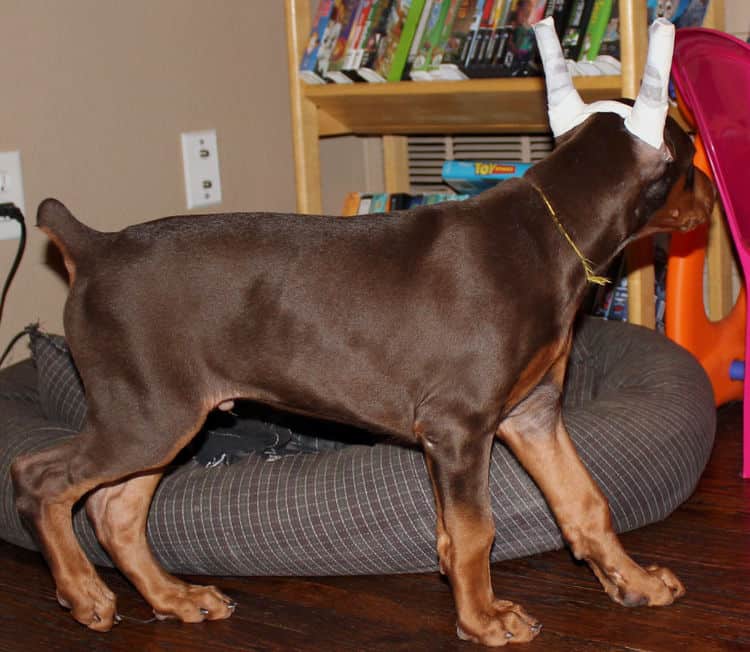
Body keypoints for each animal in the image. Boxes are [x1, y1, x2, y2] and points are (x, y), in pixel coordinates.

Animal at [11, 16, 712, 648]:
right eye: (688, 160)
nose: (708, 193)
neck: (553, 228)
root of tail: (94, 247)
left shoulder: (533, 413)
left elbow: (587, 502)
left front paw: (636, 584)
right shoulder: (459, 425)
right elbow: (475, 532)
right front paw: (485, 620)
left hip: (166, 419)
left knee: (114, 511)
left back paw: (175, 599)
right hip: (148, 413)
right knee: (40, 477)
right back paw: (84, 594)